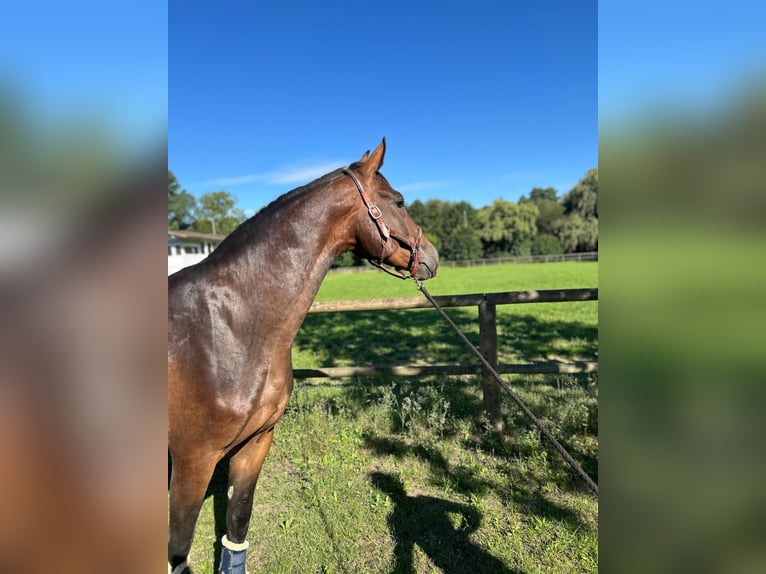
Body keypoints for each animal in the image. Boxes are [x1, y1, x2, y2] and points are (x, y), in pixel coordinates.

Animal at [168, 139, 439, 574]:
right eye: (398, 200)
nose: (431, 256)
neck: (228, 326)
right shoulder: (192, 460)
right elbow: (178, 549)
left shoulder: (256, 443)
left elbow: (237, 523)